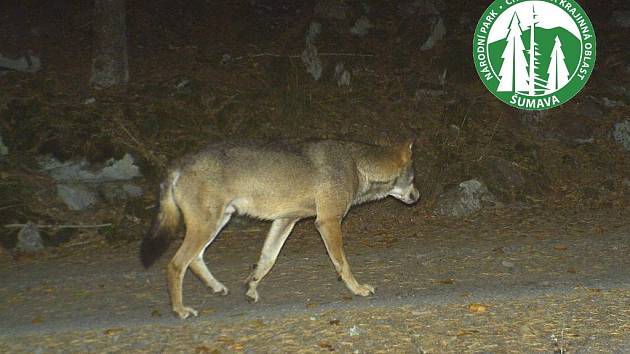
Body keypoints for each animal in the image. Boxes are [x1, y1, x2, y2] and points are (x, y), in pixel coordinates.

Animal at [141, 140, 422, 320]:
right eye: (414, 178)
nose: (418, 196)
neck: (355, 165)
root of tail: (179, 163)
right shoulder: (328, 222)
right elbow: (343, 264)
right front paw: (358, 289)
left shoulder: (286, 220)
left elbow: (267, 260)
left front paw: (251, 288)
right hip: (208, 226)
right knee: (176, 265)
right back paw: (180, 310)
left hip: (218, 223)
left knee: (196, 259)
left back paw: (217, 287)